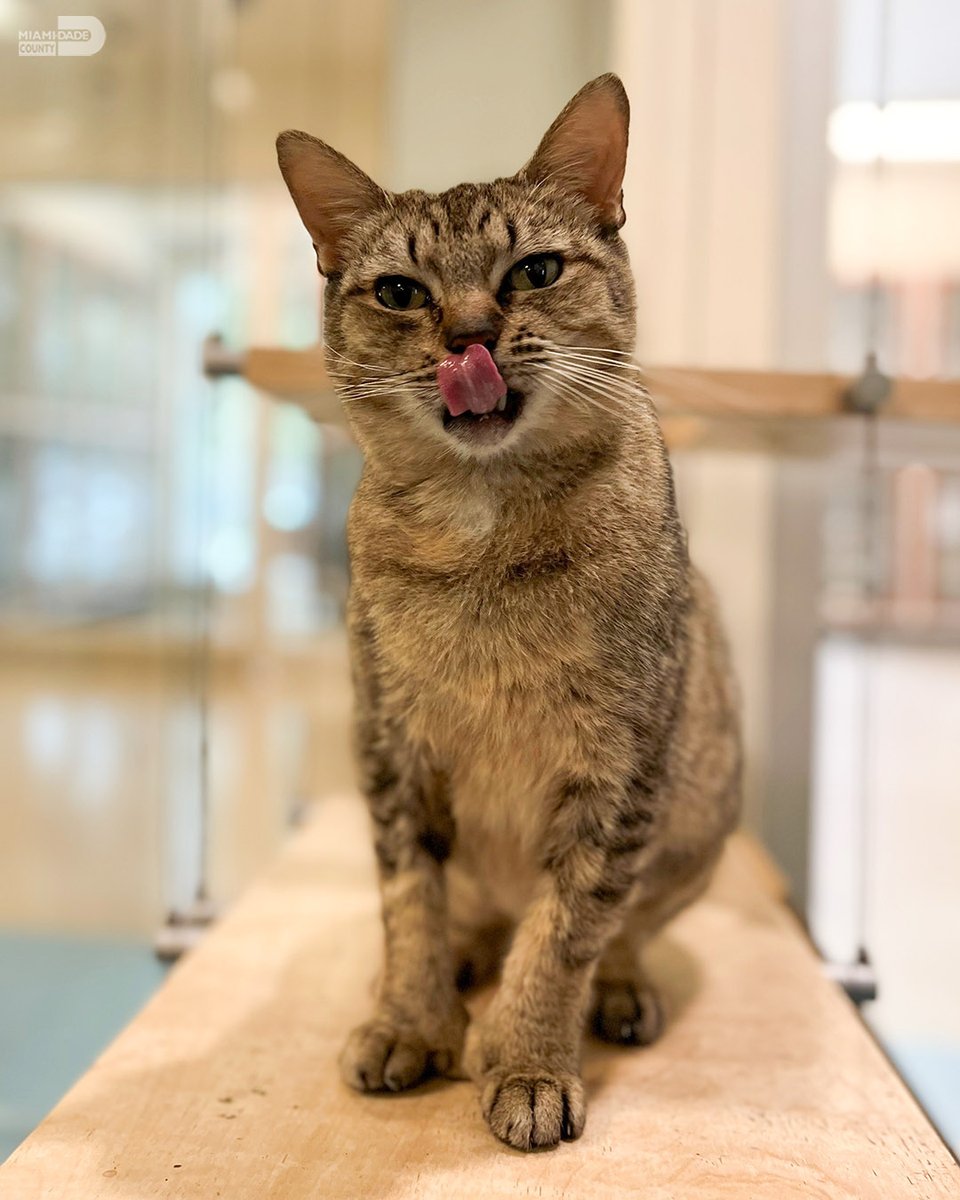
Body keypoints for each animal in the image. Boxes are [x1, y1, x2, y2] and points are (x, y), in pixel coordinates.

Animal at [277, 75, 744, 1152]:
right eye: (400, 292)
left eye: (534, 270)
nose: (469, 337)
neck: (483, 538)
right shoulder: (392, 748)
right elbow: (409, 902)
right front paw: (412, 1020)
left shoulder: (618, 768)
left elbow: (566, 930)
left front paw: (528, 1060)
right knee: (472, 911)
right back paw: (460, 959)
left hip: (699, 821)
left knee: (628, 927)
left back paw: (616, 991)